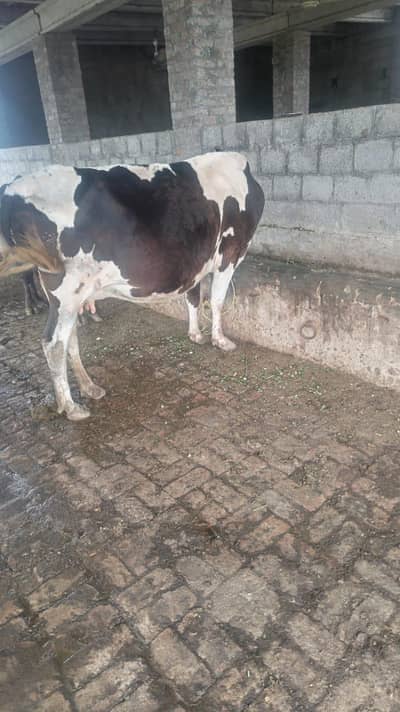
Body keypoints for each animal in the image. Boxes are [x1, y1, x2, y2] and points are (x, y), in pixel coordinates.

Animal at [0, 151, 265, 421]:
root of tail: (13, 187)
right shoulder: (229, 254)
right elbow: (218, 300)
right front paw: (220, 340)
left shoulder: (197, 262)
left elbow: (193, 297)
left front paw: (195, 334)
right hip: (68, 291)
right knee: (54, 344)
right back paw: (72, 407)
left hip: (66, 298)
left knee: (69, 339)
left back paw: (89, 387)